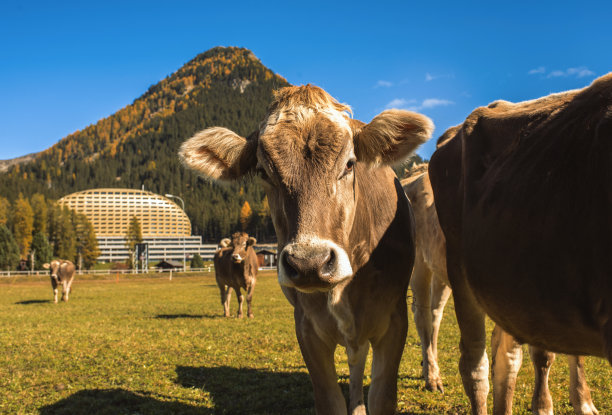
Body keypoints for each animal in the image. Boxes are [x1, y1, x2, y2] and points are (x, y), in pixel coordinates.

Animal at [179, 85, 432, 415]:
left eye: (349, 163)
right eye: (263, 171)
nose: (310, 263)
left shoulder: (394, 320)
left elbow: (381, 398)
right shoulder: (307, 328)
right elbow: (329, 401)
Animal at [402, 167, 596, 415]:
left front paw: (583, 401)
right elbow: (542, 355)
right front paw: (543, 405)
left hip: (442, 271)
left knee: (435, 315)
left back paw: (430, 367)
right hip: (419, 263)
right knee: (423, 316)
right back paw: (432, 376)